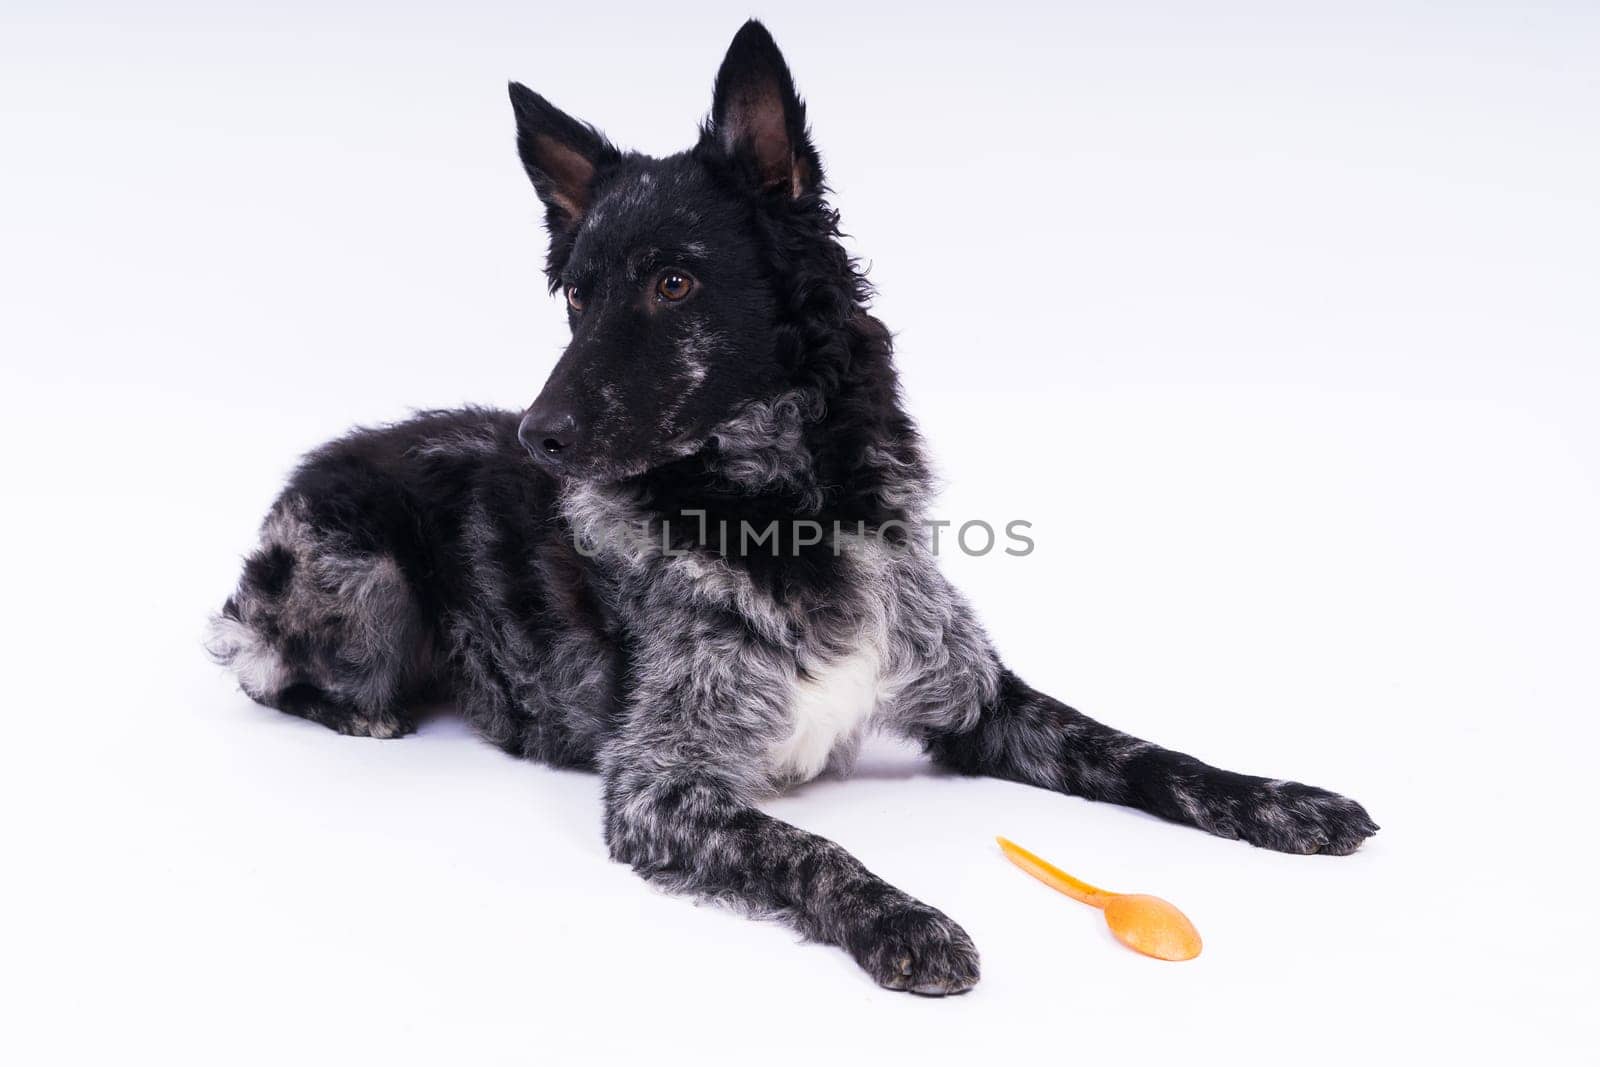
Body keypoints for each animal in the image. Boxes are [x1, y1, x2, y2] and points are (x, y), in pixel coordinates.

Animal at [203, 20, 1376, 998]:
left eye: (674, 283)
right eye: (577, 295)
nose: (539, 435)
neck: (781, 507)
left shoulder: (982, 703)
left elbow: (1142, 749)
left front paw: (1281, 798)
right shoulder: (663, 788)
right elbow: (806, 846)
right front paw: (902, 918)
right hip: (365, 580)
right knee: (259, 663)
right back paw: (361, 708)